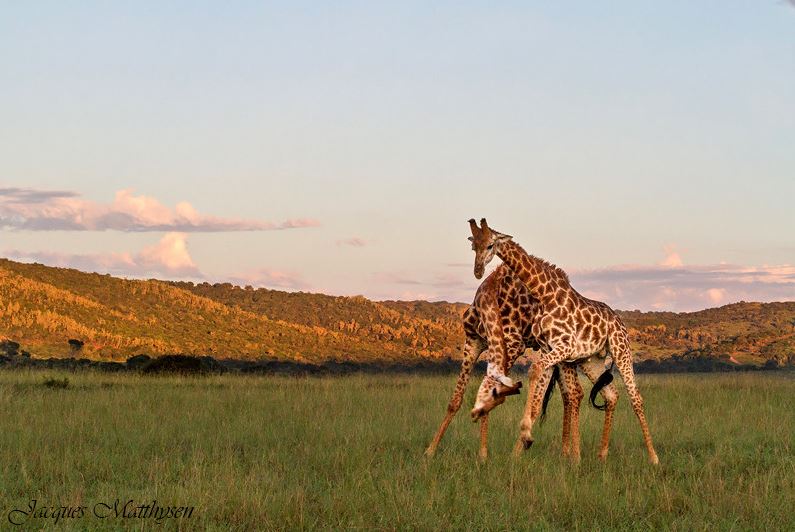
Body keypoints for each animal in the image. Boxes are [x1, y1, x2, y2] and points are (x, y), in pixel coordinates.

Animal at [426, 262, 620, 462]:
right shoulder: (473, 342)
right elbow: (455, 400)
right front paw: (430, 451)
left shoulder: (512, 345)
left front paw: (483, 455)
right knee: (576, 394)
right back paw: (569, 453)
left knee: (575, 393)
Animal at [466, 218, 660, 464]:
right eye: (474, 246)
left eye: (490, 245)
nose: (478, 271)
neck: (544, 294)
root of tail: (619, 320)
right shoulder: (550, 348)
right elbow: (535, 375)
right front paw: (526, 438)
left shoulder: (564, 346)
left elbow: (535, 370)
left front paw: (527, 434)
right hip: (592, 361)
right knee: (611, 394)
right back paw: (602, 454)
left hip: (621, 350)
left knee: (636, 398)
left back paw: (654, 457)